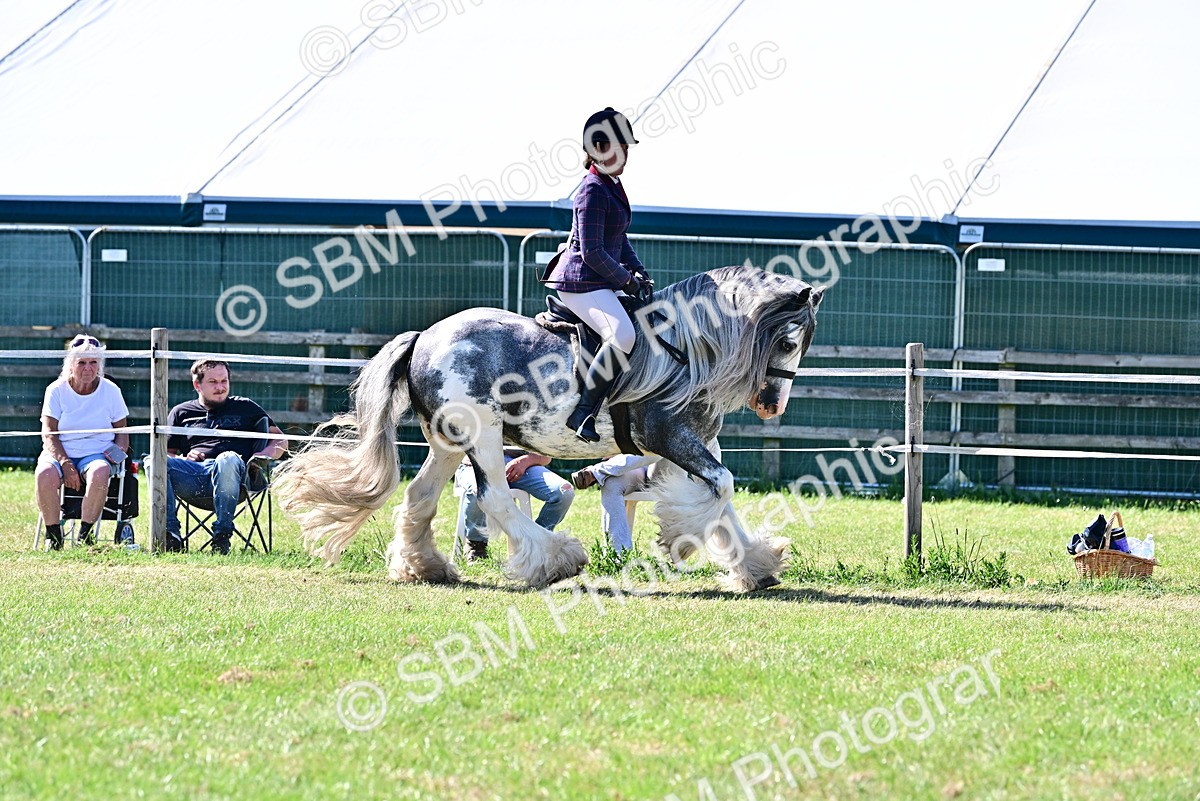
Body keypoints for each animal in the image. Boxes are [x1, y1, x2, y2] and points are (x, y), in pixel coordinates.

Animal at [274, 265, 825, 592]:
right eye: (785, 342)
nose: (771, 405)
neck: (684, 348)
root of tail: (425, 337)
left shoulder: (694, 443)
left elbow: (719, 496)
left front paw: (755, 565)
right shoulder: (671, 439)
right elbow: (719, 489)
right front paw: (682, 542)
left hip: (448, 443)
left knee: (420, 496)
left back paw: (424, 568)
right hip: (484, 435)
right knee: (495, 497)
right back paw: (554, 561)